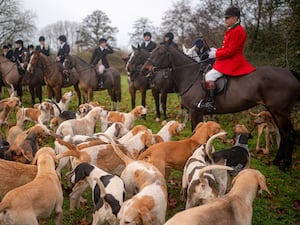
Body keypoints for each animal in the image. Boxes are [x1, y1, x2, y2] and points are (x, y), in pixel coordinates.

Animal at [142, 42, 300, 171]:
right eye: (152, 51)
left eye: (160, 53)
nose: (145, 69)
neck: (190, 76)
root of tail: (289, 72)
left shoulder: (195, 111)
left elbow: (195, 132)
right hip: (274, 111)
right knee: (283, 134)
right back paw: (277, 161)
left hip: (280, 111)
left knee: (289, 135)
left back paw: (284, 165)